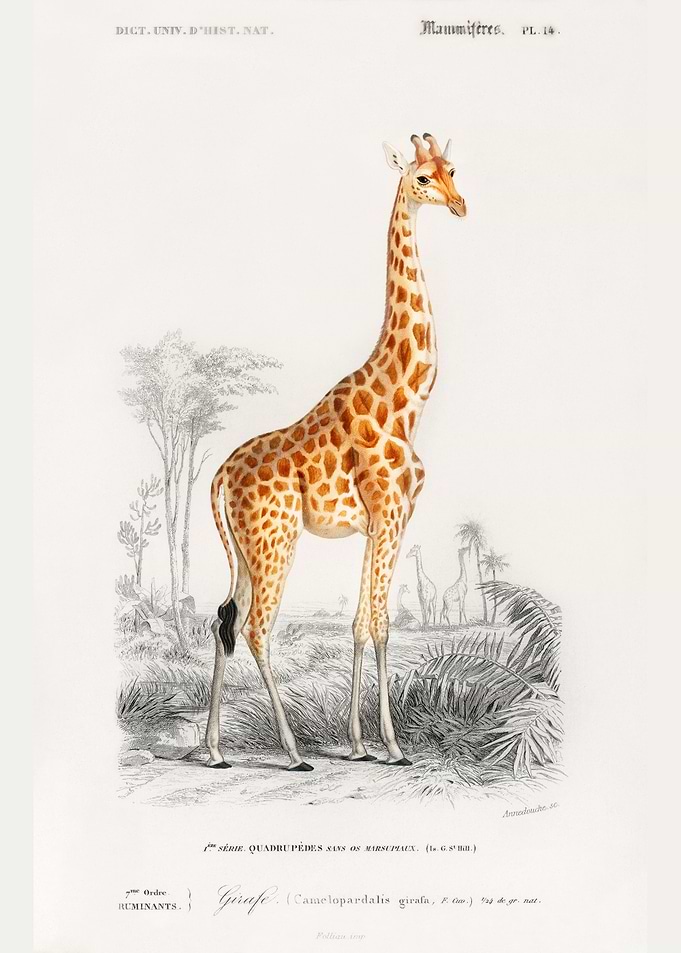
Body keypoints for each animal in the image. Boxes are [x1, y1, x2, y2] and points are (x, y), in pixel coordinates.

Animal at [206, 133, 466, 770]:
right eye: (422, 178)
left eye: (453, 170)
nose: (460, 204)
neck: (406, 401)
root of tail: (219, 476)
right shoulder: (391, 514)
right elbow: (381, 623)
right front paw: (392, 747)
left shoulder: (380, 523)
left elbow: (360, 623)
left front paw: (359, 744)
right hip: (275, 541)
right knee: (256, 627)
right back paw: (294, 752)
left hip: (247, 550)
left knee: (223, 618)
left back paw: (214, 751)